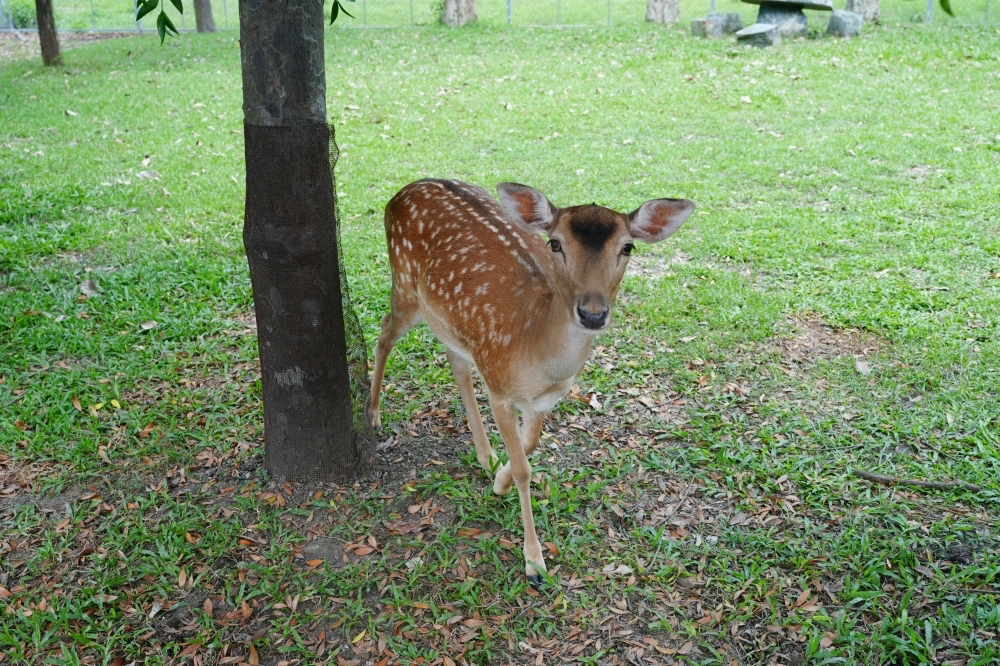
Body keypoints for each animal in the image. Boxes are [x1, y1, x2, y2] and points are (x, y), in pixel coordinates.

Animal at [368, 179, 694, 587]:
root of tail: (402, 191)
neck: (536, 354)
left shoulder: (542, 400)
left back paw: (486, 455)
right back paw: (373, 413)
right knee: (384, 332)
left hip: (448, 319)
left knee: (455, 361)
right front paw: (534, 562)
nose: (592, 314)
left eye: (627, 247)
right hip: (405, 286)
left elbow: (530, 446)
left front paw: (499, 478)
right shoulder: (498, 388)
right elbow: (525, 467)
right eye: (554, 243)